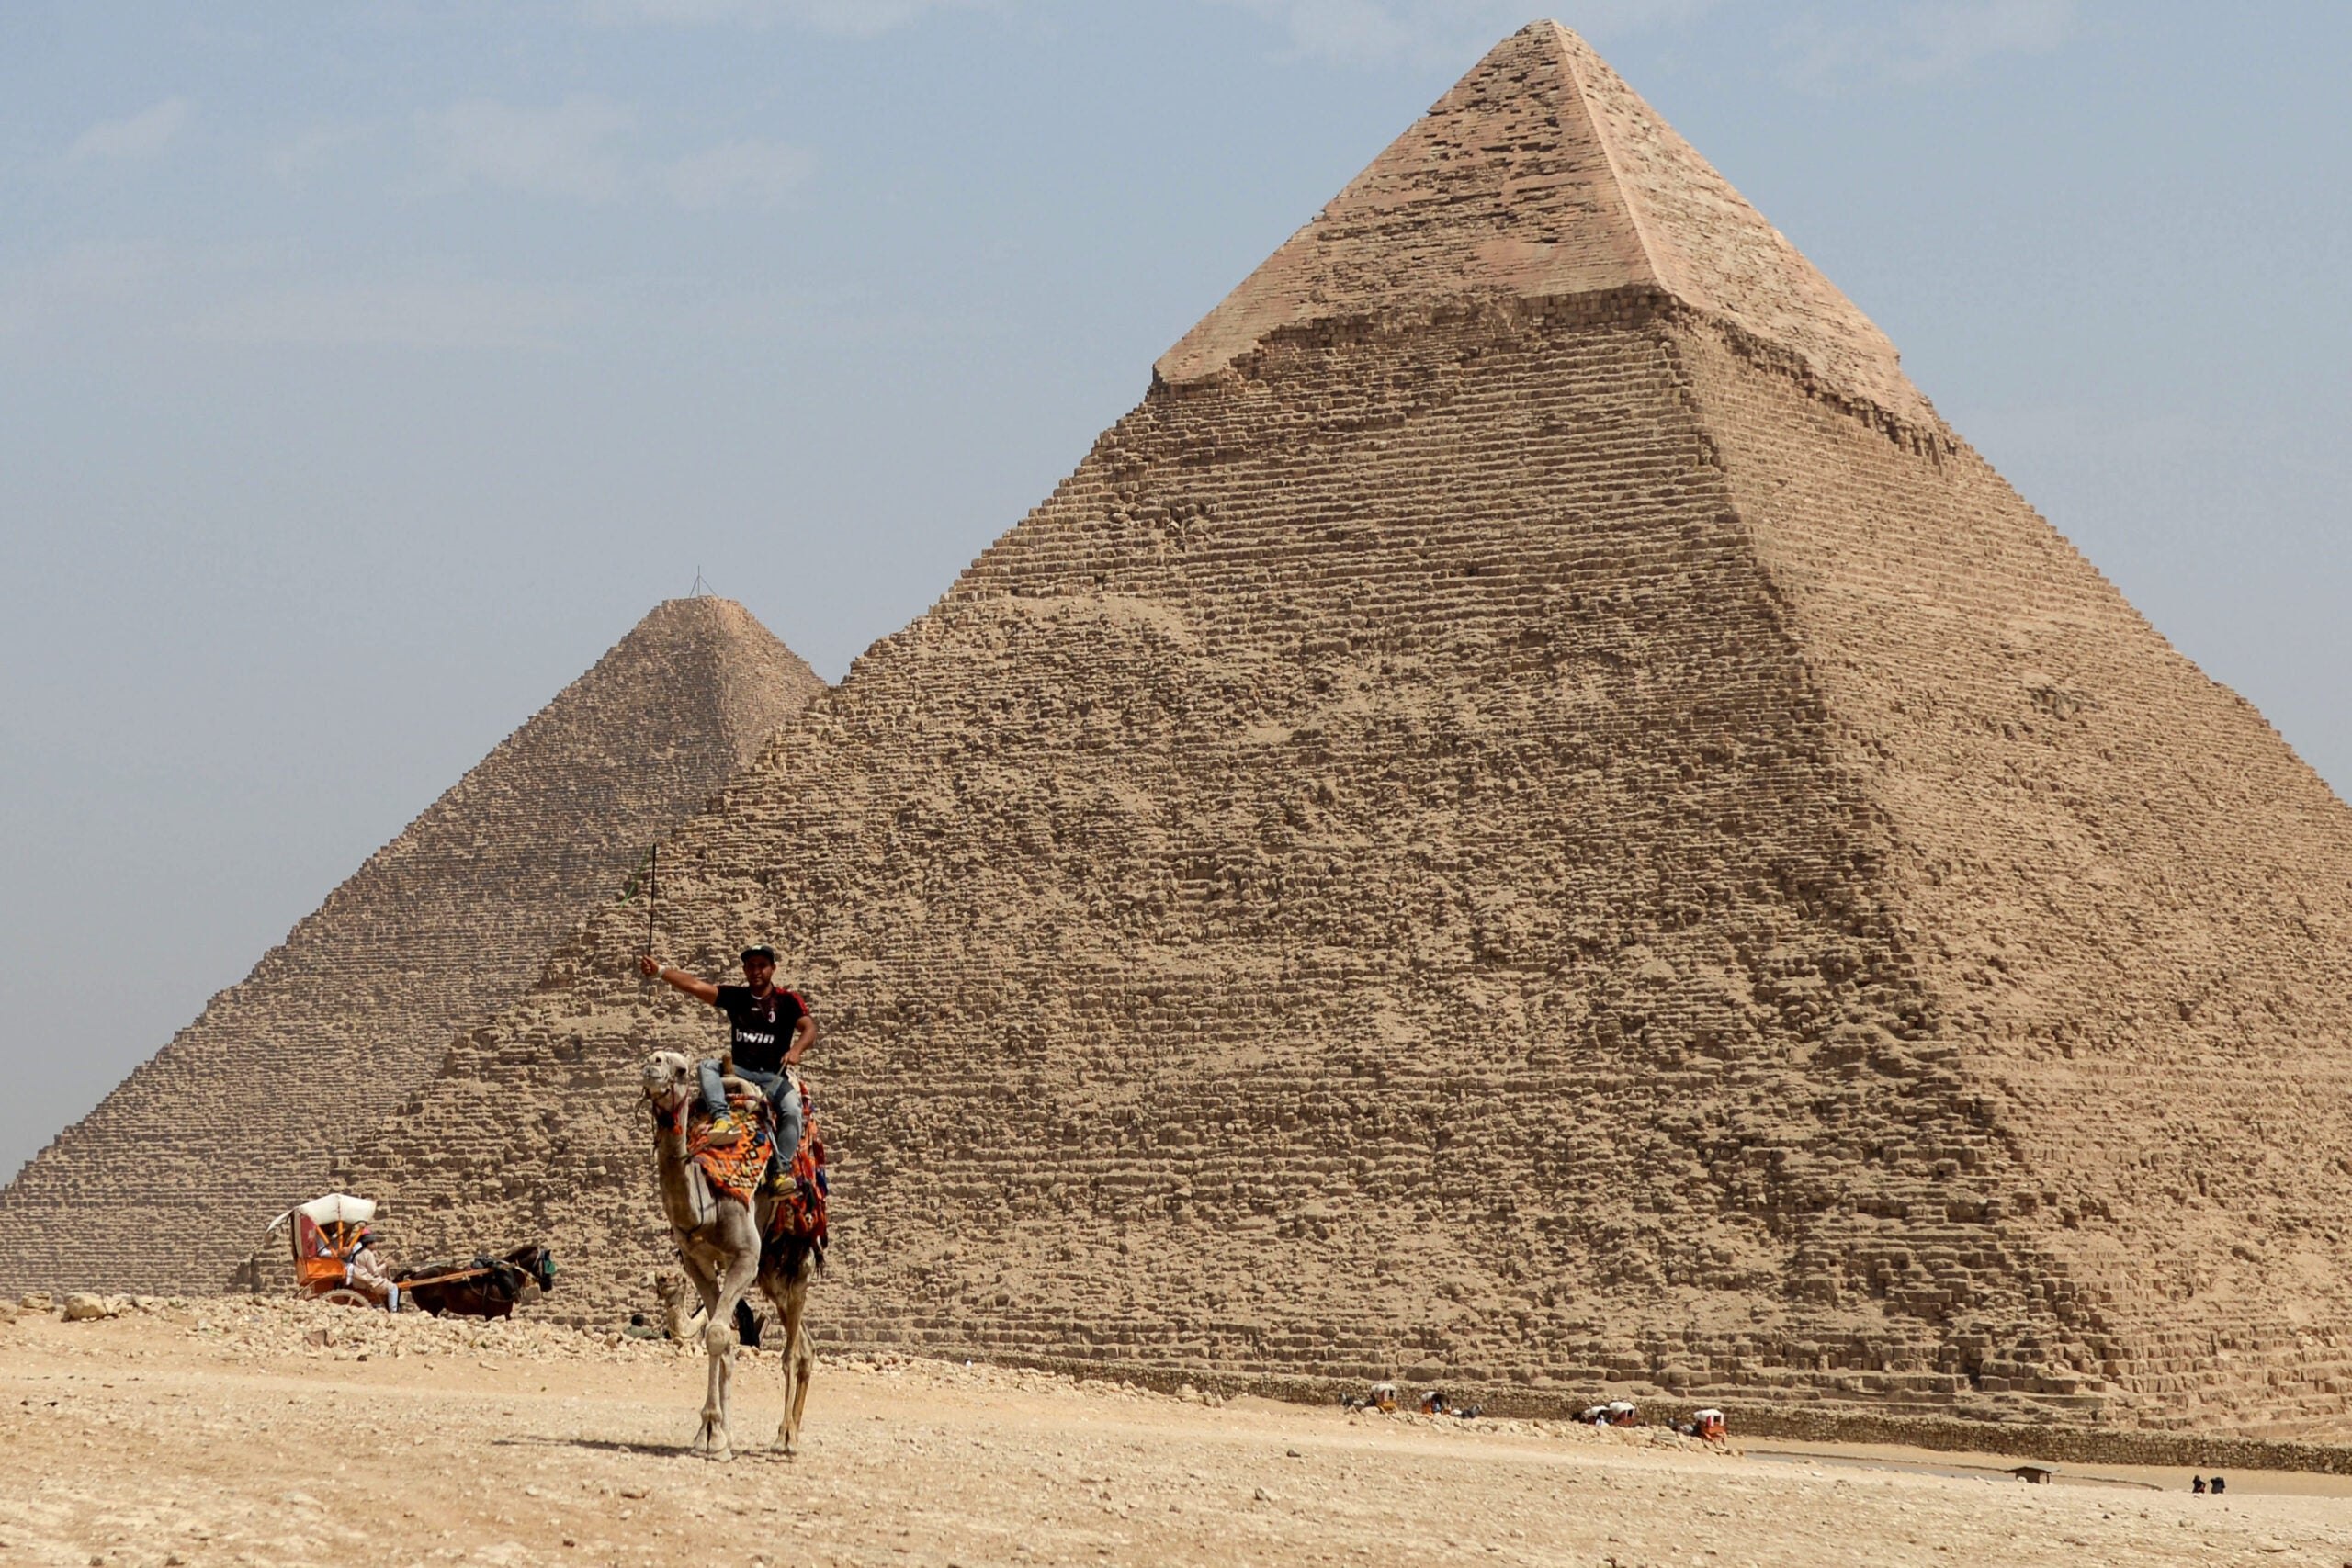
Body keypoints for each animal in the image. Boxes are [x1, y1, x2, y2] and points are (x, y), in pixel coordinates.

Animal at [644, 1048, 818, 1466]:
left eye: (680, 1069)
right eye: (653, 1058)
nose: (653, 1064)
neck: (708, 1196)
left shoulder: (744, 1258)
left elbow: (719, 1334)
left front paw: (713, 1436)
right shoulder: (698, 1262)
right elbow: (720, 1339)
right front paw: (714, 1433)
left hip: (796, 1261)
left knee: (793, 1351)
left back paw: (787, 1440)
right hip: (771, 1274)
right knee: (804, 1343)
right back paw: (787, 1433)